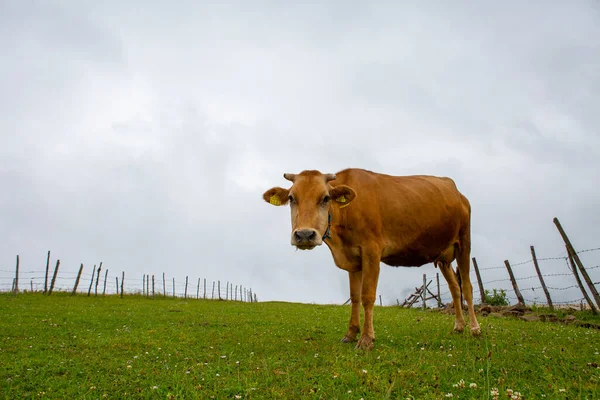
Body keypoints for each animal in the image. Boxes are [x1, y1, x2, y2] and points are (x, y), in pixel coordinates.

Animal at [262, 169, 482, 350]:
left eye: (325, 198)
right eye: (292, 198)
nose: (305, 235)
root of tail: (457, 192)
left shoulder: (372, 252)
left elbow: (367, 296)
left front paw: (366, 339)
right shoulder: (353, 260)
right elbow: (354, 297)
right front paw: (351, 333)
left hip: (464, 243)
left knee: (467, 287)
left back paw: (474, 328)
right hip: (444, 256)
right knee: (455, 288)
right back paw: (459, 326)